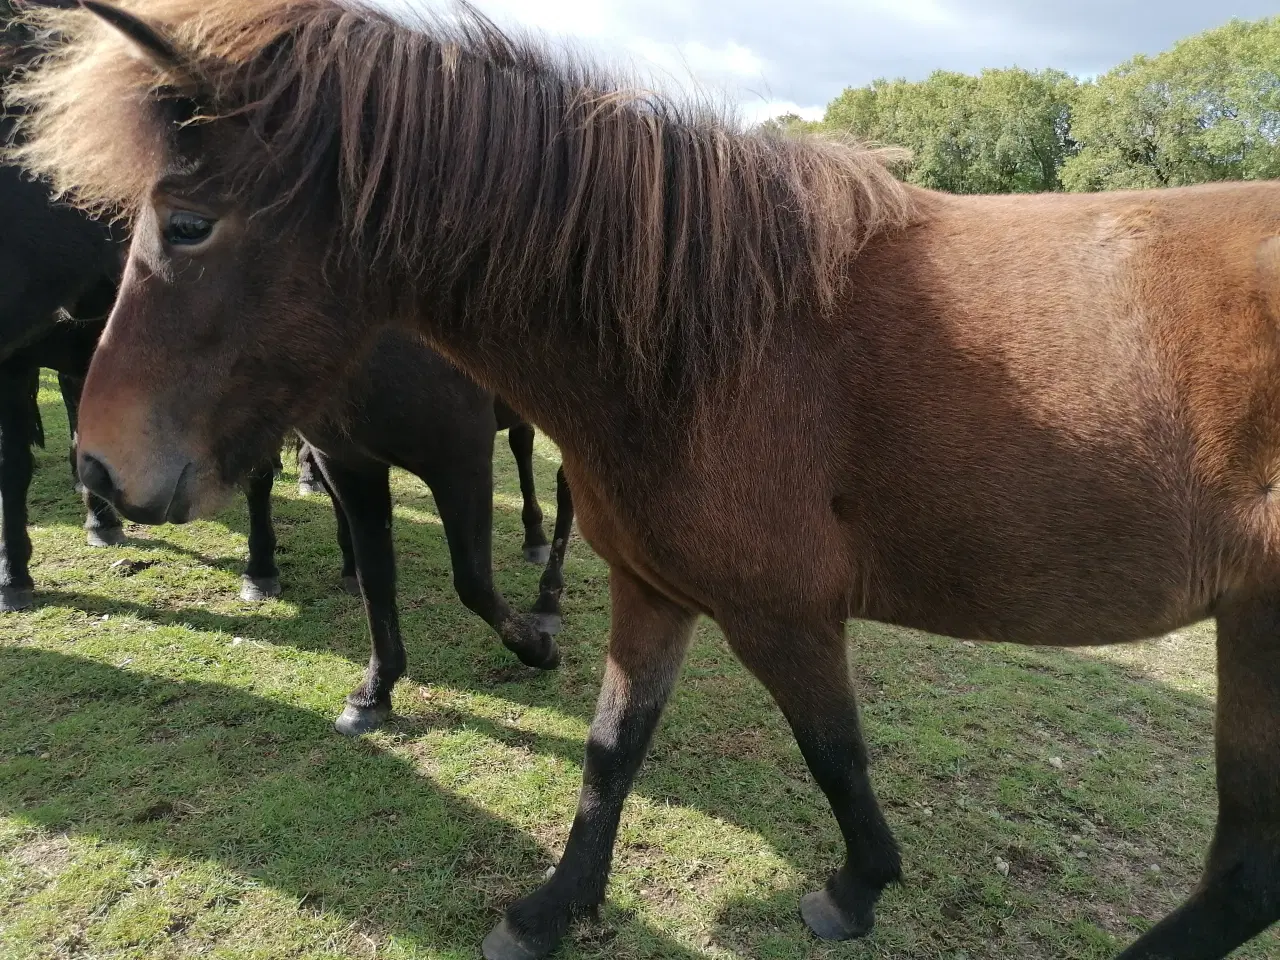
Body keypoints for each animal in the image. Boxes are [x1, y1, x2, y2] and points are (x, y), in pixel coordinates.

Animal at [15, 1, 1280, 960]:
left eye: (187, 222)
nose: (99, 466)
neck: (711, 337)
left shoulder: (782, 616)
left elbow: (832, 756)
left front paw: (855, 887)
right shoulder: (655, 591)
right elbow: (610, 752)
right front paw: (552, 908)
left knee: (1242, 870)